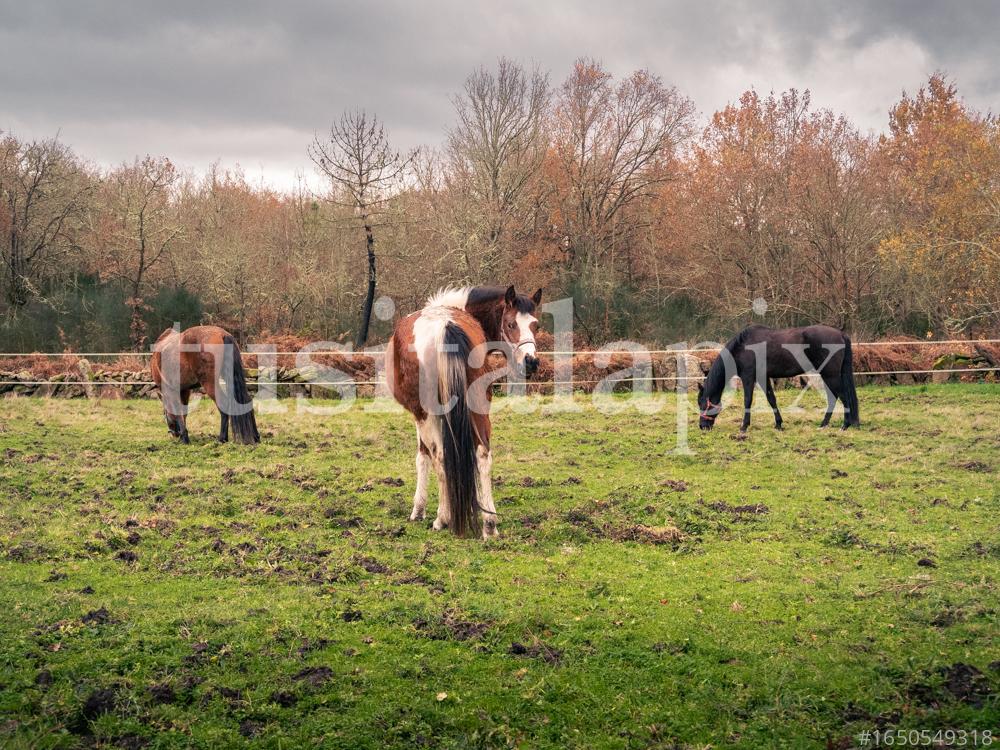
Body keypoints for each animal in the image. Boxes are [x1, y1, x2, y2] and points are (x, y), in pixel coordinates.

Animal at [696, 324, 860, 434]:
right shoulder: (763, 377)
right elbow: (771, 399)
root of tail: (841, 334)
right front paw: (779, 424)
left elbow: (747, 400)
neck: (742, 347)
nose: (702, 427)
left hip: (830, 375)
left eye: (702, 404)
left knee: (842, 397)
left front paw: (744, 426)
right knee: (833, 398)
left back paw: (844, 425)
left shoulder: (748, 377)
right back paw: (824, 424)